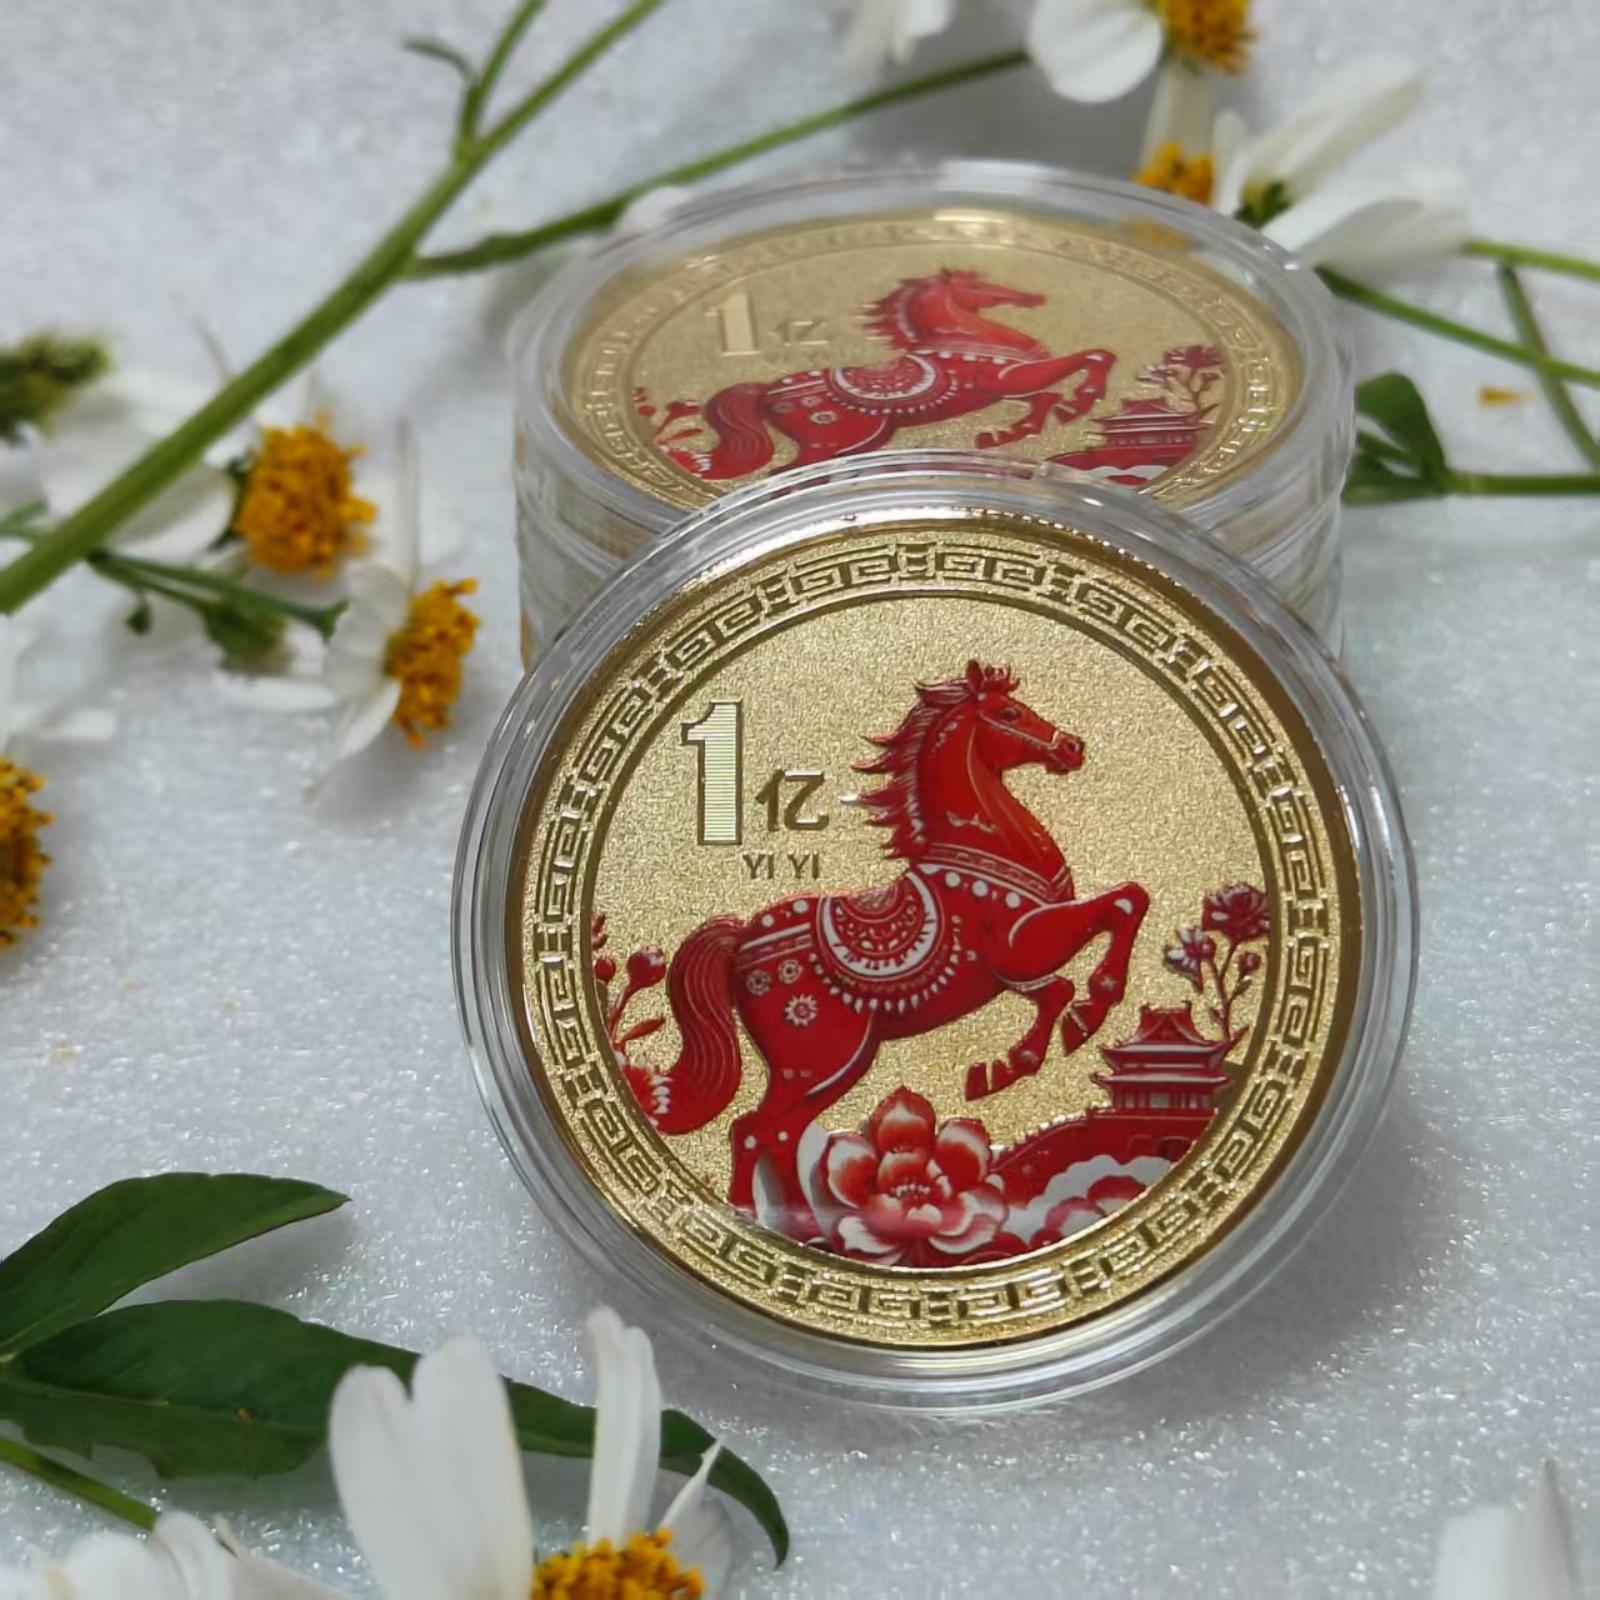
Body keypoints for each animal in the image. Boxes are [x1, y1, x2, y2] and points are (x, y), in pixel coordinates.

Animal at [623, 661, 1149, 1235]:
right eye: (1010, 713)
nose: (1071, 746)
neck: (988, 848)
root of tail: (741, 938)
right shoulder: (1020, 947)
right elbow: (1118, 911)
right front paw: (1071, 1025)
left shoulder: (1019, 967)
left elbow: (1087, 950)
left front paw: (1014, 1061)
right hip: (818, 1062)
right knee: (755, 1129)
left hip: (837, 1066)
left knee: (776, 1133)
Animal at [663, 269, 1117, 481]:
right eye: (978, 285)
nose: (1031, 298)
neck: (964, 336)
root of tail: (763, 391)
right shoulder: (1009, 379)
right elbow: (1093, 356)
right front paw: (1080, 401)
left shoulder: (1011, 388)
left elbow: (1044, 398)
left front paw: (1005, 435)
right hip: (834, 441)